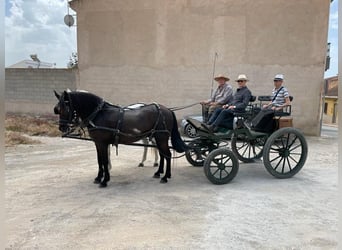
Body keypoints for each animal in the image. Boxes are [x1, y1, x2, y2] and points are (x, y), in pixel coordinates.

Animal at [53, 90, 187, 188]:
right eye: (57, 109)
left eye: (66, 108)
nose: (61, 127)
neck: (99, 114)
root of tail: (167, 110)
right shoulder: (98, 143)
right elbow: (99, 160)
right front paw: (98, 178)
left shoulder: (102, 143)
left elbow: (104, 161)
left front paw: (104, 180)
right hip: (158, 137)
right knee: (162, 154)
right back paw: (158, 173)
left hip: (161, 137)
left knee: (167, 155)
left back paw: (165, 176)